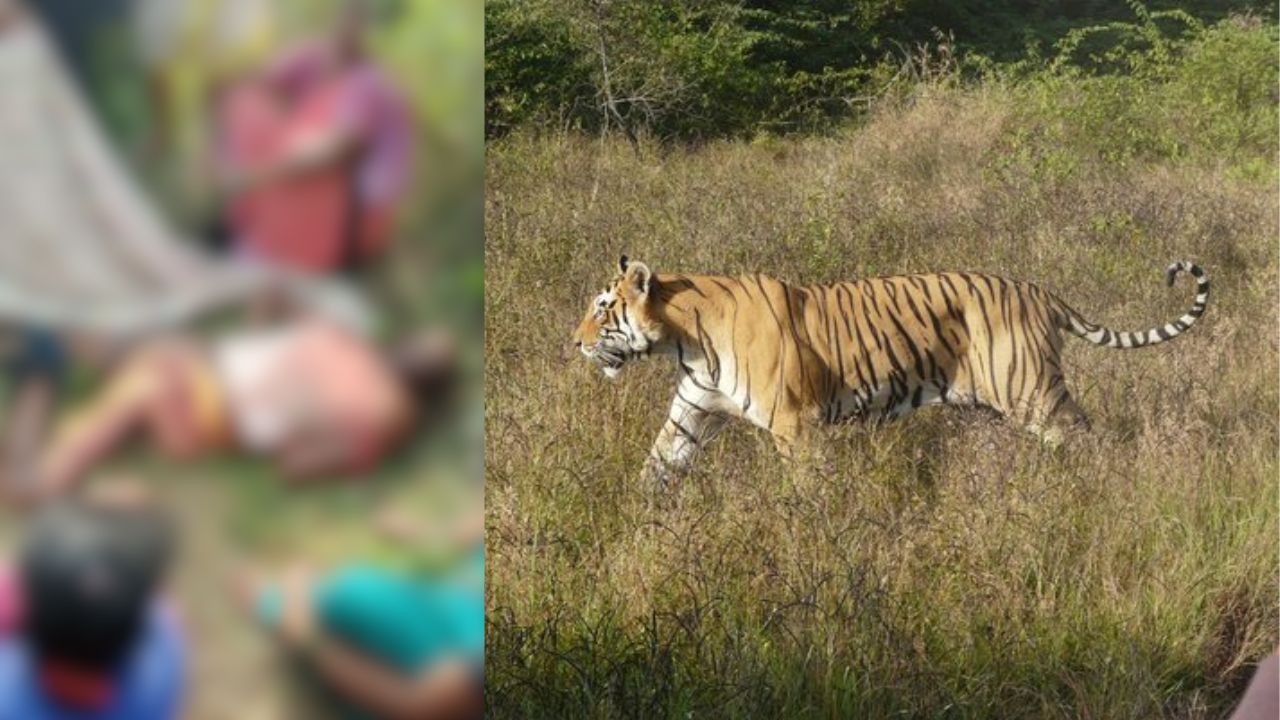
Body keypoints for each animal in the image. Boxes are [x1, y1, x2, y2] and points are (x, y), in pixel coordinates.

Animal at [571, 256, 1210, 484]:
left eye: (602, 308)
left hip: (1032, 392)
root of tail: (1039, 290)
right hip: (994, 408)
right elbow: (658, 461)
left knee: (1087, 439)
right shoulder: (694, 410)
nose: (573, 343)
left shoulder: (796, 425)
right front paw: (631, 518)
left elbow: (807, 488)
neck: (685, 339)